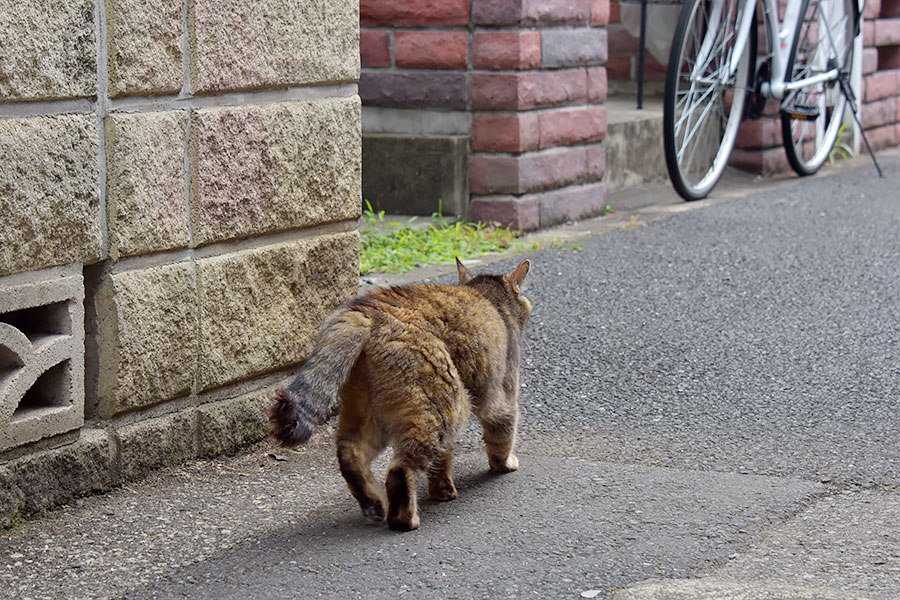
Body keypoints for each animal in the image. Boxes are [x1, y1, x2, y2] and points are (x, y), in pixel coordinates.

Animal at [268, 258, 536, 528]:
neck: (490, 298)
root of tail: (367, 311)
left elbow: (442, 459)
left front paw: (442, 491)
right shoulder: (501, 396)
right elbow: (502, 436)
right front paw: (504, 464)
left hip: (368, 410)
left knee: (349, 452)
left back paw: (373, 503)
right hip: (445, 408)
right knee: (400, 470)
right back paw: (404, 519)